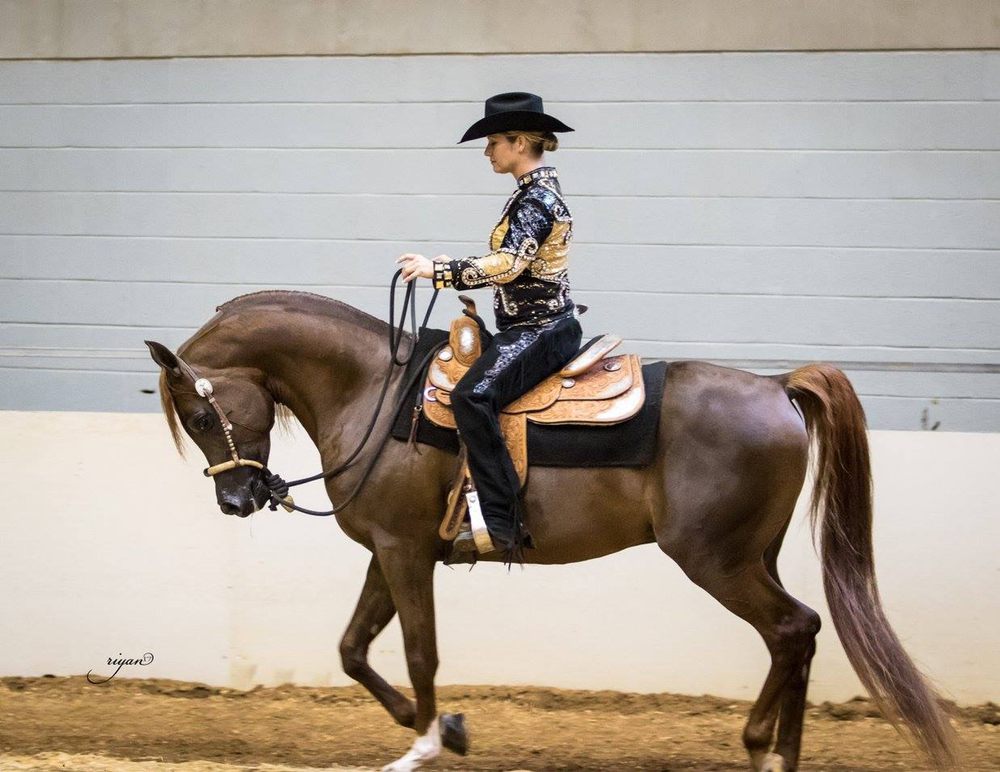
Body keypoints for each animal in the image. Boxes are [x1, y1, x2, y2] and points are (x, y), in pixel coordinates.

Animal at [145, 289, 957, 772]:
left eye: (199, 414)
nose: (238, 500)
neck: (375, 393)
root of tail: (775, 386)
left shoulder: (405, 552)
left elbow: (418, 651)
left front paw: (424, 744)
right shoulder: (392, 549)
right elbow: (352, 649)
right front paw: (446, 729)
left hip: (717, 561)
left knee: (793, 629)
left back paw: (762, 746)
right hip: (758, 555)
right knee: (800, 635)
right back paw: (779, 754)